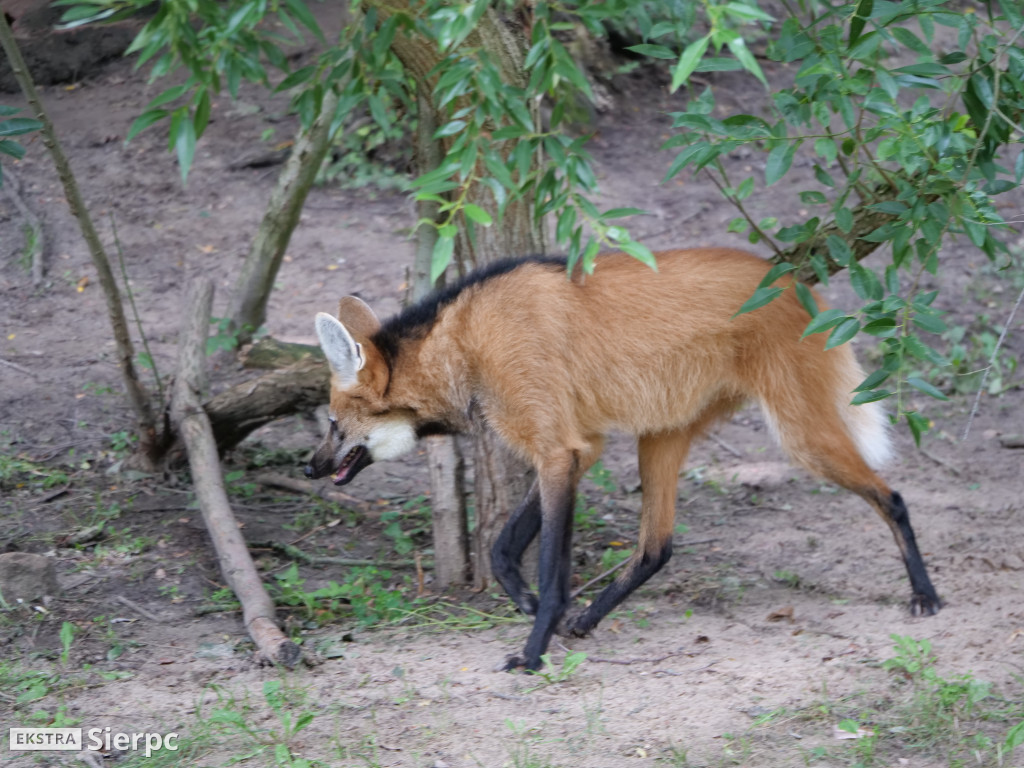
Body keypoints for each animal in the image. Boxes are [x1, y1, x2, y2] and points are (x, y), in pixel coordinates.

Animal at [307, 249, 937, 671]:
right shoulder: (579, 447)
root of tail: (797, 281)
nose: (310, 467)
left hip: (798, 434)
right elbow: (504, 548)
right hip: (661, 432)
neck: (465, 348)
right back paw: (589, 619)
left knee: (893, 495)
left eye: (333, 424)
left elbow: (547, 567)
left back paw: (925, 595)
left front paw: (533, 650)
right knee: (657, 546)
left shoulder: (558, 451)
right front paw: (532, 606)